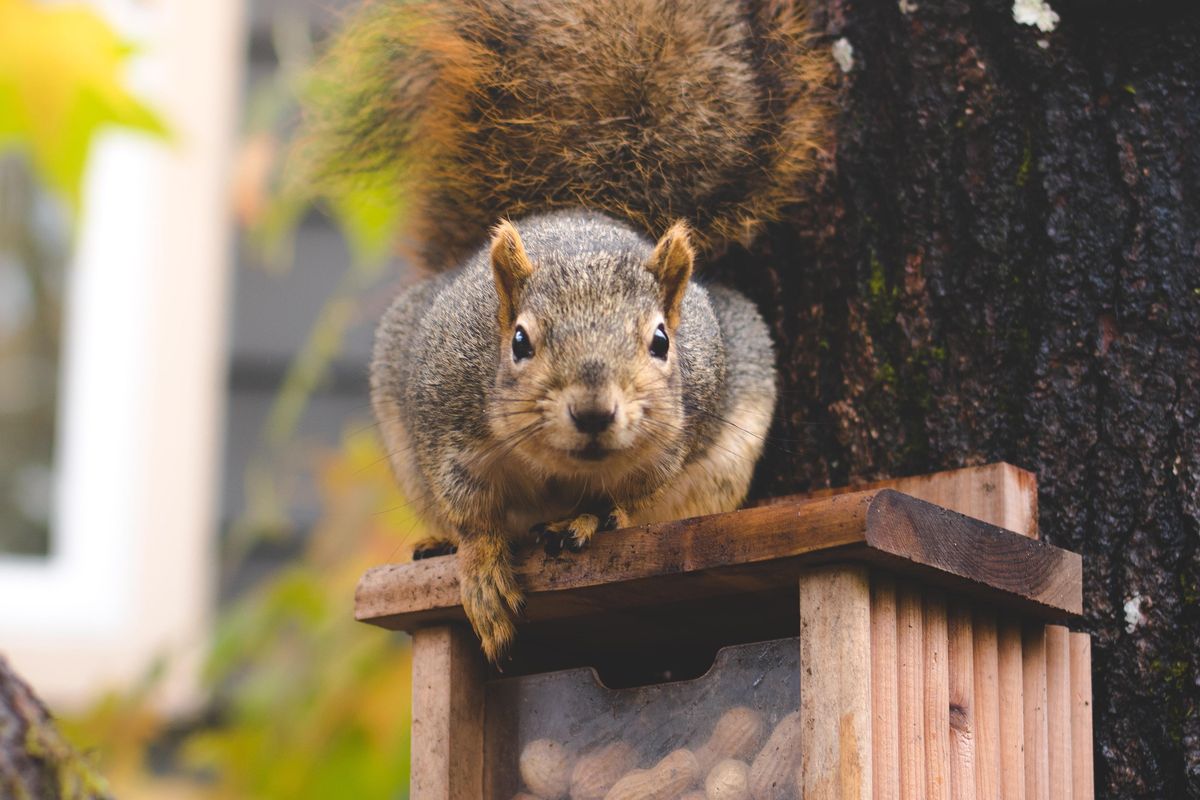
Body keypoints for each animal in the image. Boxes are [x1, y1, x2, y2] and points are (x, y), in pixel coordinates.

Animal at [307, 0, 835, 662]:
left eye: (662, 341)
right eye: (519, 342)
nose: (593, 412)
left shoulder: (672, 443)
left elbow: (631, 502)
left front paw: (588, 519)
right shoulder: (445, 427)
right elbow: (472, 515)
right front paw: (482, 570)